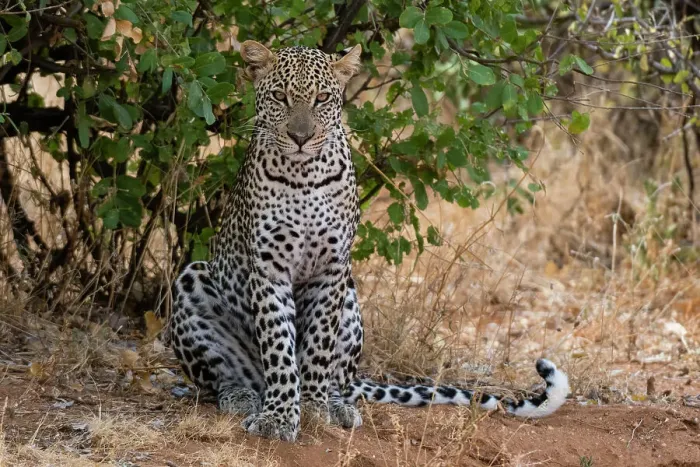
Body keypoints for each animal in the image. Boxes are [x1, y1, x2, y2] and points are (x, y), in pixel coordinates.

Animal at [170, 40, 570, 443]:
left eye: (321, 98)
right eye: (280, 97)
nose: (300, 137)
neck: (303, 175)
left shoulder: (332, 268)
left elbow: (318, 344)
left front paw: (312, 407)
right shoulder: (269, 269)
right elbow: (280, 347)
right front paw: (280, 416)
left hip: (350, 299)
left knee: (341, 380)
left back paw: (337, 405)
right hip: (192, 278)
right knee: (223, 378)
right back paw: (242, 396)